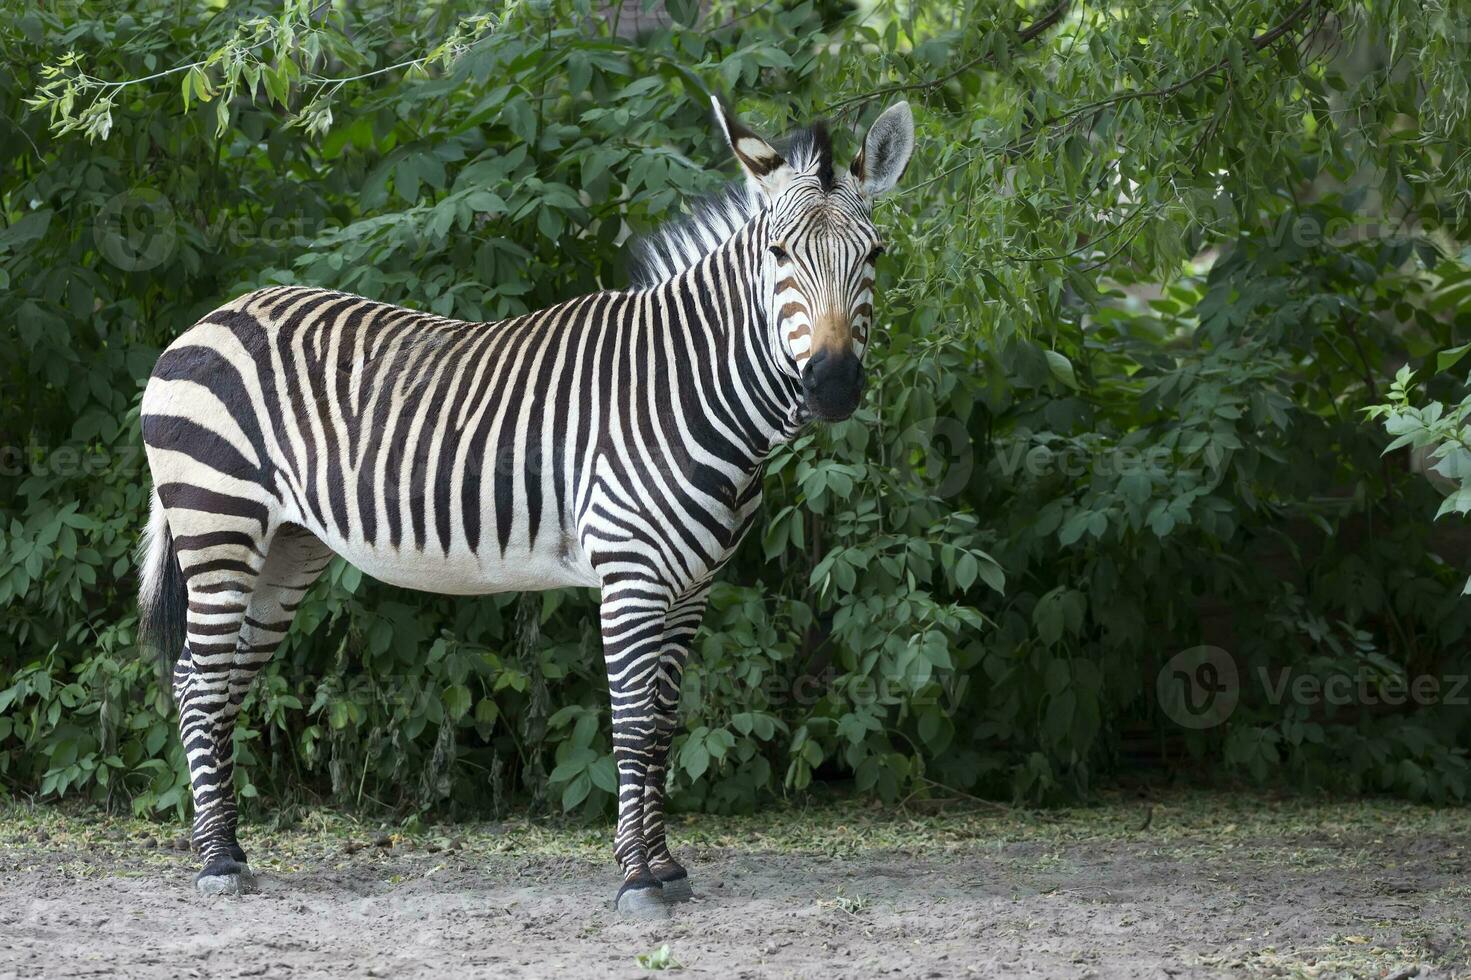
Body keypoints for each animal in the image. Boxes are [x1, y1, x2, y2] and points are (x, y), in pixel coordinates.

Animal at [140, 95, 917, 912]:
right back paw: (216, 863)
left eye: (874, 255)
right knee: (197, 682)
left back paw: (228, 849)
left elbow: (664, 723)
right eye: (777, 255)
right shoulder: (631, 577)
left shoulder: (693, 588)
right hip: (218, 525)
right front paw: (637, 878)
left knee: (220, 681)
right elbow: (633, 722)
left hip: (286, 548)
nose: (832, 385)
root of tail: (209, 318)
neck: (687, 388)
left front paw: (665, 865)